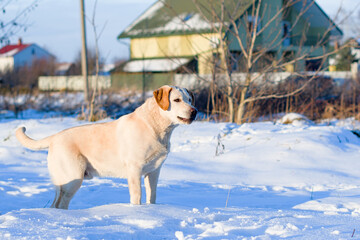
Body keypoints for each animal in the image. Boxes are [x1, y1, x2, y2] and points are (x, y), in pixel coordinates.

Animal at [16, 85, 197, 209]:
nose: (194, 111)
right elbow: (136, 197)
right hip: (71, 178)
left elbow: (152, 196)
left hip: (63, 182)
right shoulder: (135, 169)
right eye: (177, 100)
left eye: (189, 99)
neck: (155, 127)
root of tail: (54, 137)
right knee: (59, 205)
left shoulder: (154, 171)